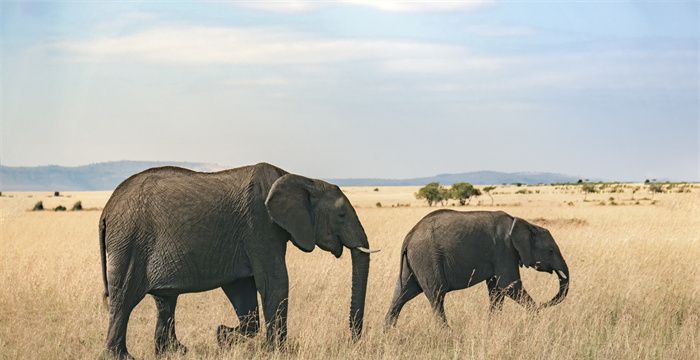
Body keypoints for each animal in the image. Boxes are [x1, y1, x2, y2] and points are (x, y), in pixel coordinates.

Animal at [99, 163, 374, 360]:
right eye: (341, 215)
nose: (353, 341)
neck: (301, 178)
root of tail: (106, 210)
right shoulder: (259, 225)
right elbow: (274, 282)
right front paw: (278, 352)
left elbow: (242, 288)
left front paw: (222, 335)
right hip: (129, 242)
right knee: (124, 299)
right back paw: (122, 357)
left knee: (165, 300)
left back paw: (175, 352)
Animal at [386, 208, 572, 326]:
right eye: (550, 251)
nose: (544, 304)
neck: (524, 223)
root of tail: (409, 236)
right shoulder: (504, 250)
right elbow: (509, 285)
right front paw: (536, 318)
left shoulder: (500, 255)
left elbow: (497, 290)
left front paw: (492, 325)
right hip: (427, 259)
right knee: (437, 296)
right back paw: (447, 333)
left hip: (415, 262)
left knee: (401, 295)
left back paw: (388, 334)